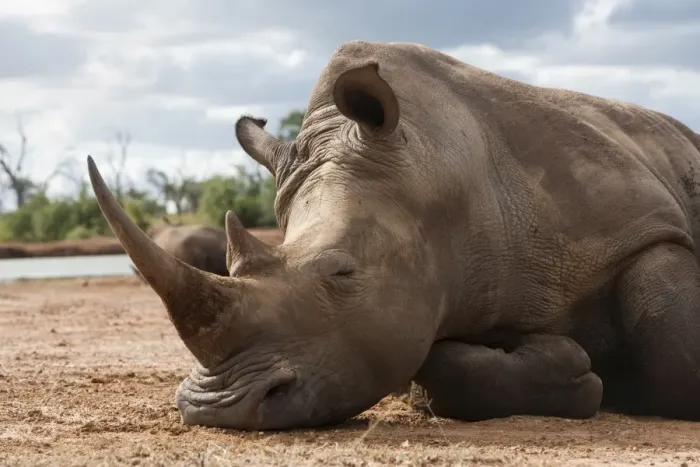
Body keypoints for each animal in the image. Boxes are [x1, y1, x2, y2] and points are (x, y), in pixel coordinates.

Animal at [86, 40, 700, 431]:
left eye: (342, 271)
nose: (219, 410)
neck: (436, 172)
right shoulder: (412, 302)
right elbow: (431, 365)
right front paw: (574, 369)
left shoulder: (640, 227)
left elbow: (677, 349)